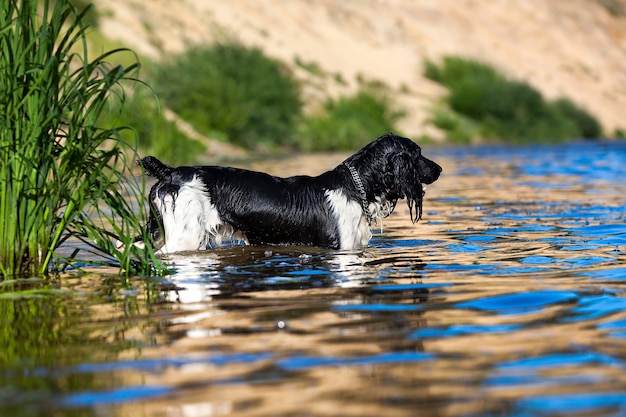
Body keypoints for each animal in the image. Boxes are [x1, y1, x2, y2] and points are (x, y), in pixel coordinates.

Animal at [122, 132, 442, 254]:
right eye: (417, 155)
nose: (439, 168)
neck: (355, 185)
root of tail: (171, 172)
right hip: (184, 238)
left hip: (158, 229)